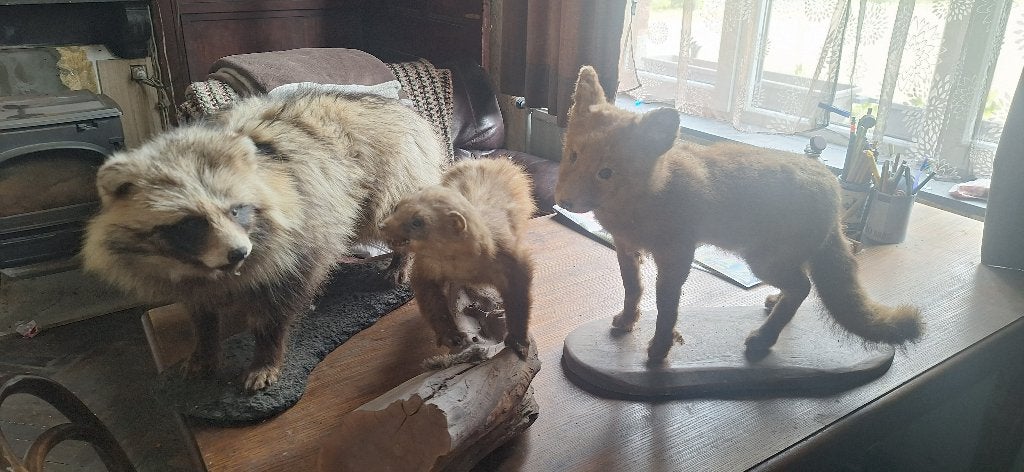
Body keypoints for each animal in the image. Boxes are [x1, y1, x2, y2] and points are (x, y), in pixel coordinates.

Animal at [555, 66, 923, 364]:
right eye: (573, 156)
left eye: (606, 173)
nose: (563, 201)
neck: (645, 199)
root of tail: (832, 189)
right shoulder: (626, 248)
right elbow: (633, 290)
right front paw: (628, 321)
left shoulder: (677, 258)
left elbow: (667, 311)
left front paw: (659, 350)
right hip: (780, 261)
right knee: (798, 286)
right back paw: (774, 305)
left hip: (762, 261)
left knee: (803, 288)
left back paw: (763, 339)